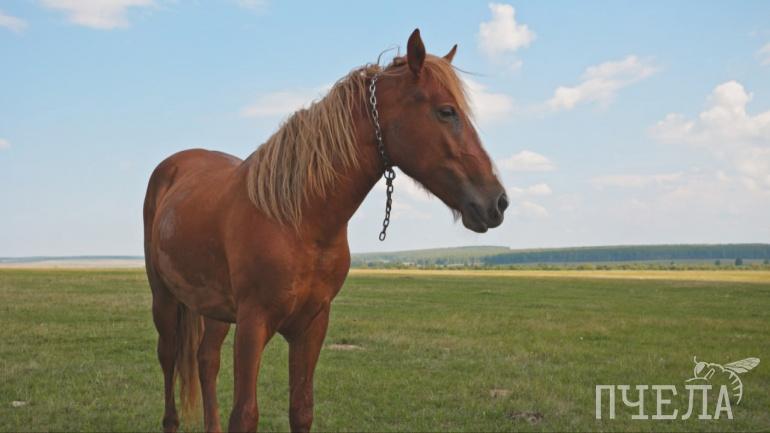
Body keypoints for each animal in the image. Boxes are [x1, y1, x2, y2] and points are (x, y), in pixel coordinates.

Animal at [143, 29, 508, 433]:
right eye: (446, 111)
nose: (497, 202)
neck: (298, 220)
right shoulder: (253, 324)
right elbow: (246, 414)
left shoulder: (312, 324)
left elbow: (301, 409)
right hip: (165, 300)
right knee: (169, 359)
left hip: (214, 309)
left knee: (206, 360)